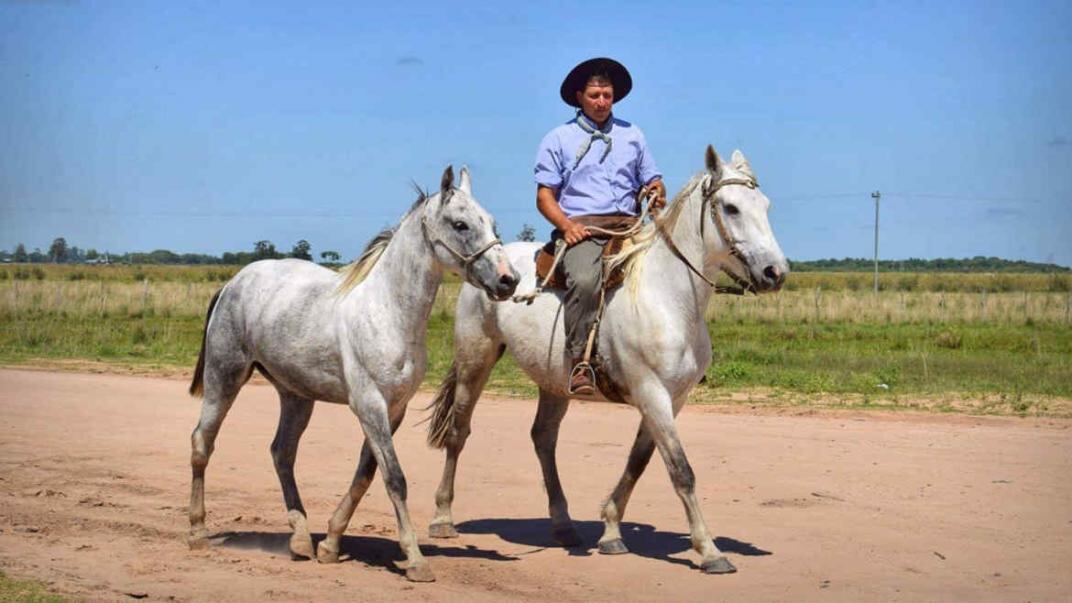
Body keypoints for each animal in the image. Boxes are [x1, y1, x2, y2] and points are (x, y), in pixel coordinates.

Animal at [187, 166, 518, 579]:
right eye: (460, 224)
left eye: (492, 222)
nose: (509, 280)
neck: (388, 311)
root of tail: (233, 283)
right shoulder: (369, 405)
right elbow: (394, 478)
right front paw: (415, 559)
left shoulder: (393, 409)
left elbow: (365, 475)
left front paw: (330, 544)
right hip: (225, 376)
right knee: (202, 443)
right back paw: (198, 531)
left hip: (295, 395)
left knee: (282, 453)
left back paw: (300, 540)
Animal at [424, 145, 788, 570]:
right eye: (730, 208)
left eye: (766, 205)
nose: (775, 272)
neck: (667, 298)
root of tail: (492, 267)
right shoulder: (652, 393)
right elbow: (681, 470)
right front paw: (710, 550)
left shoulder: (672, 399)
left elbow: (638, 462)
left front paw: (612, 530)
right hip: (475, 359)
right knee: (458, 431)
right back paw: (443, 518)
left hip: (554, 383)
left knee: (543, 438)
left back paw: (563, 524)